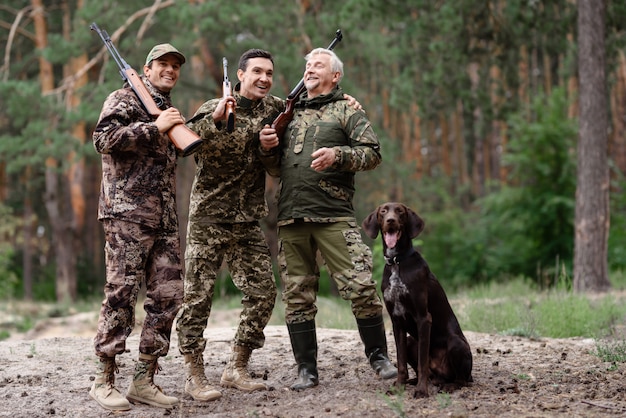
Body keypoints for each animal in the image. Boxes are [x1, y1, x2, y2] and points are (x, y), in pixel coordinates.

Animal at [360, 202, 472, 398]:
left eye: (400, 211)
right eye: (383, 211)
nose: (390, 220)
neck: (397, 262)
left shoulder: (423, 318)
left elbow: (422, 363)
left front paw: (421, 390)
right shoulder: (397, 322)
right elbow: (401, 362)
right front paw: (399, 385)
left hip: (456, 344)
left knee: (461, 380)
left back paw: (449, 386)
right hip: (411, 341)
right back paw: (414, 381)